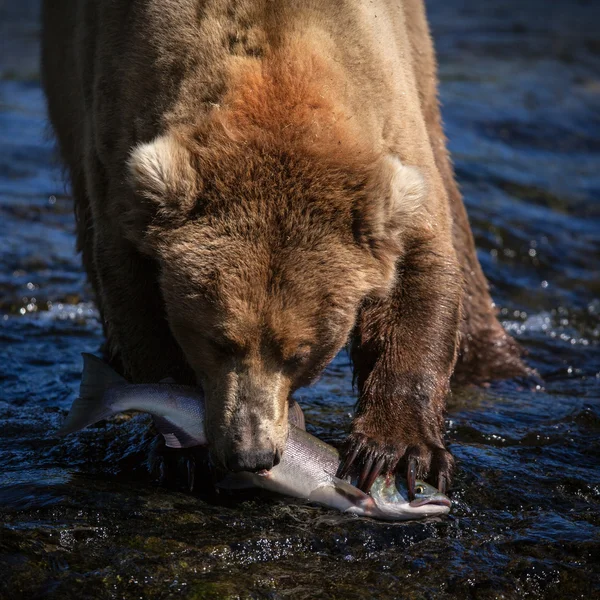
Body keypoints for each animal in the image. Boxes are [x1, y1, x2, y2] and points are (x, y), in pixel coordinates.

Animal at [41, 0, 528, 496]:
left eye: (300, 353)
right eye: (218, 341)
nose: (251, 453)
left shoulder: (390, 112)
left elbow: (419, 269)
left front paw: (397, 453)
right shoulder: (116, 124)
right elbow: (131, 287)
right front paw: (181, 447)